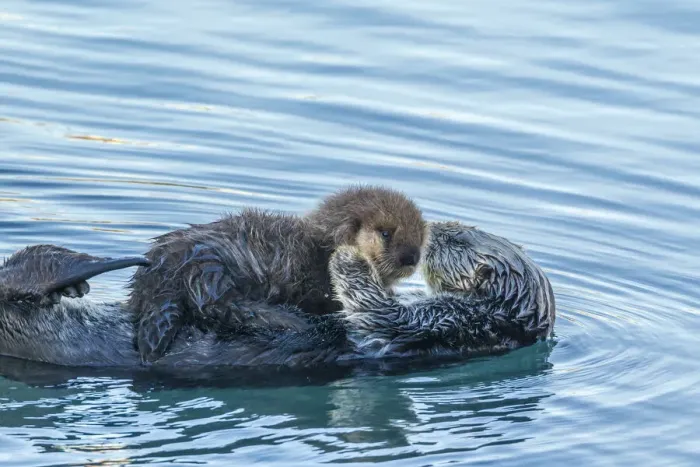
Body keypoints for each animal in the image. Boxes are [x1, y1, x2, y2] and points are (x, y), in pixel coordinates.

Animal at [0, 221, 554, 368]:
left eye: (457, 241)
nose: (437, 229)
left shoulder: (440, 325)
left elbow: (377, 312)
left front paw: (347, 257)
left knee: (21, 282)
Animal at [128, 185, 428, 363]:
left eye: (420, 236)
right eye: (386, 233)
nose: (411, 257)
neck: (321, 247)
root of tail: (158, 273)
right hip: (209, 268)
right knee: (219, 306)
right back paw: (288, 319)